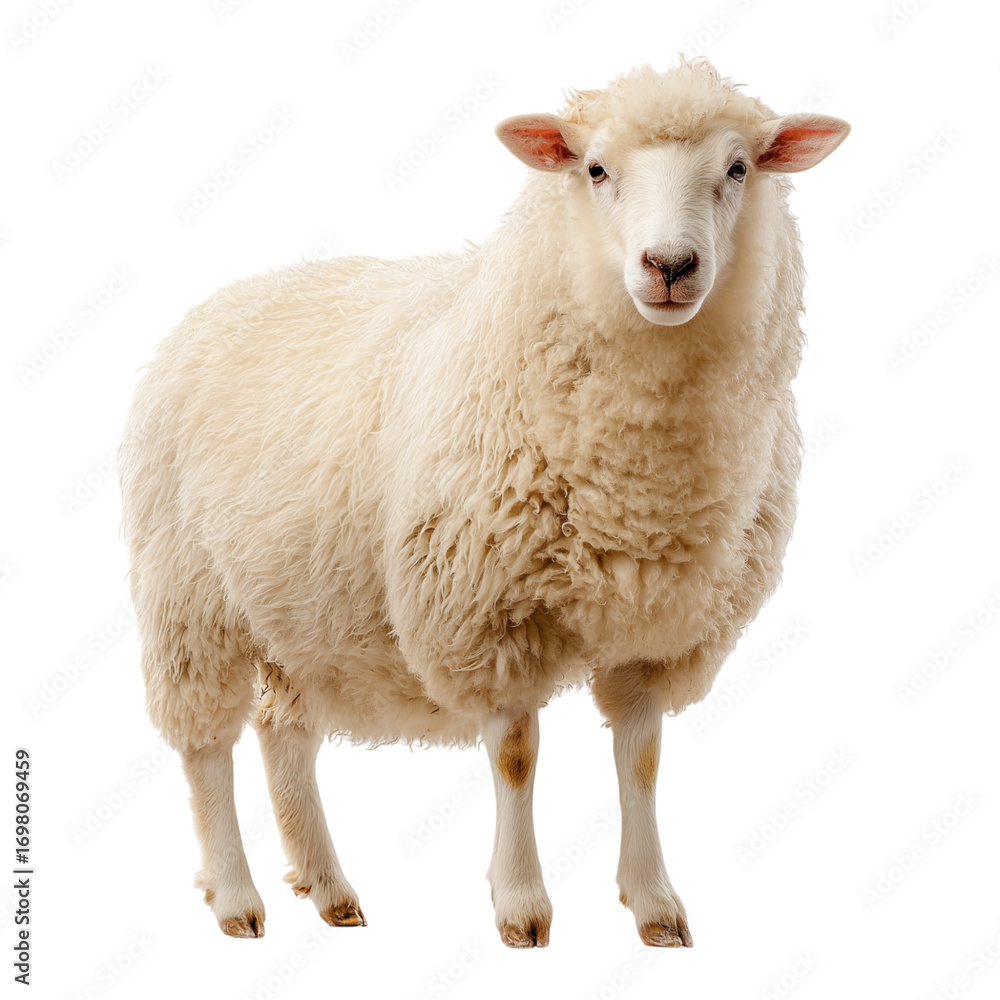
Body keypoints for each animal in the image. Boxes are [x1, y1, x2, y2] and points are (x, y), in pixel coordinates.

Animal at [119, 58, 849, 949]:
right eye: (595, 170)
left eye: (740, 168)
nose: (670, 266)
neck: (639, 484)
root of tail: (217, 306)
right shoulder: (488, 610)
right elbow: (516, 757)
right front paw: (521, 906)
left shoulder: (655, 625)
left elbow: (640, 759)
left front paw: (653, 905)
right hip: (190, 597)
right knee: (205, 750)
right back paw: (234, 897)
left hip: (297, 608)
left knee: (282, 733)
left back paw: (329, 889)